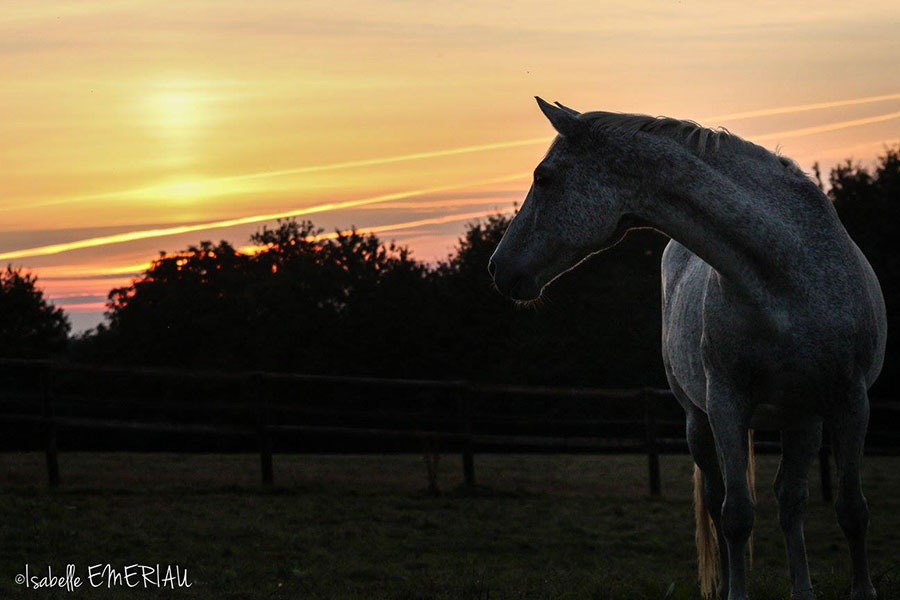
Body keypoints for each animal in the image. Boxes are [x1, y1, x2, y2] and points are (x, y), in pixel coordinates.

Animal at [488, 98, 884, 600]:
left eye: (544, 177)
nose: (497, 267)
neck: (787, 270)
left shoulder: (850, 402)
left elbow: (852, 508)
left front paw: (863, 590)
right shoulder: (727, 404)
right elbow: (736, 515)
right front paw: (736, 592)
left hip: (803, 418)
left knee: (790, 499)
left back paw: (803, 590)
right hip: (700, 421)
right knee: (720, 502)